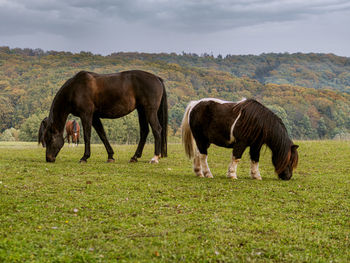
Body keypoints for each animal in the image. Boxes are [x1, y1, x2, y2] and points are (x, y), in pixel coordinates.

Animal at [39, 71, 167, 164]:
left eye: (50, 139)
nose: (48, 159)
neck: (75, 89)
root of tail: (157, 78)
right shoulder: (95, 117)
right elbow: (102, 135)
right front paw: (110, 156)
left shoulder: (86, 115)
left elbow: (87, 136)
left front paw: (84, 157)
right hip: (142, 111)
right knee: (144, 132)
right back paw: (135, 157)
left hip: (149, 111)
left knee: (157, 130)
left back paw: (155, 158)